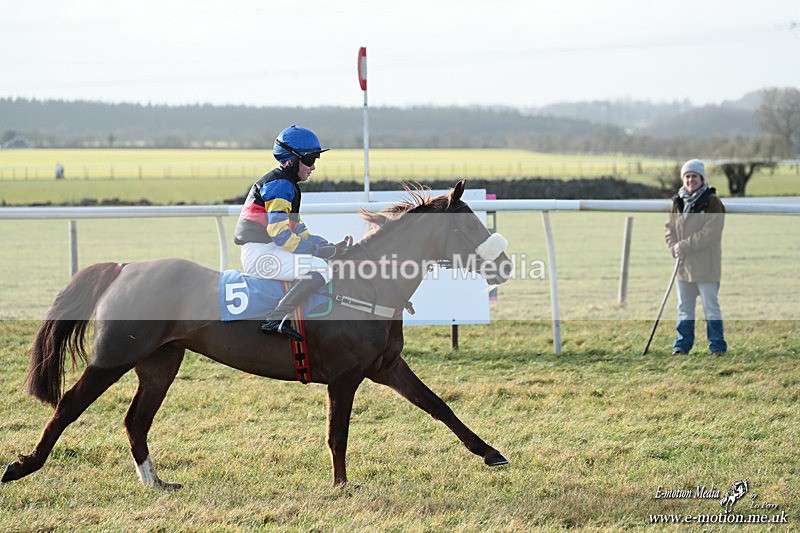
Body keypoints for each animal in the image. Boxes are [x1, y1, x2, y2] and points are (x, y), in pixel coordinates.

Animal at [2, 180, 512, 489]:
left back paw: (157, 483)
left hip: (160, 363)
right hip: (113, 357)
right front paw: (341, 485)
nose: (505, 265)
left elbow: (438, 406)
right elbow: (338, 433)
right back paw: (23, 465)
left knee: (135, 420)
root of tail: (124, 267)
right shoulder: (345, 377)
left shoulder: (385, 366)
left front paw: (491, 453)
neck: (367, 286)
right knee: (69, 406)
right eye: (469, 224)